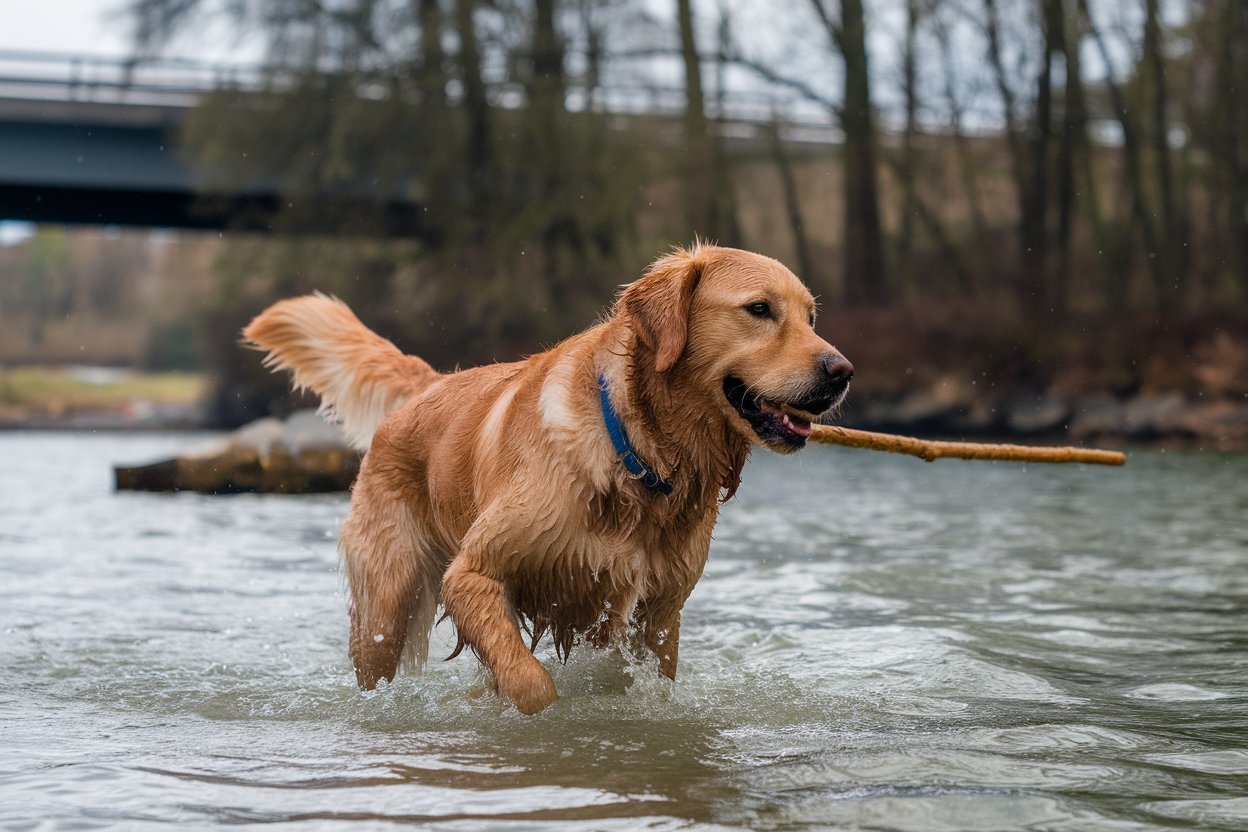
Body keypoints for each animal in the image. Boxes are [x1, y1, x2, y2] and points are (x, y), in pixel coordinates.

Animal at [243, 241, 848, 718]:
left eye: (811, 317)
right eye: (759, 309)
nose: (842, 372)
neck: (641, 455)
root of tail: (430, 384)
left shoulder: (657, 616)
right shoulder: (472, 574)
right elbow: (532, 684)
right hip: (385, 605)